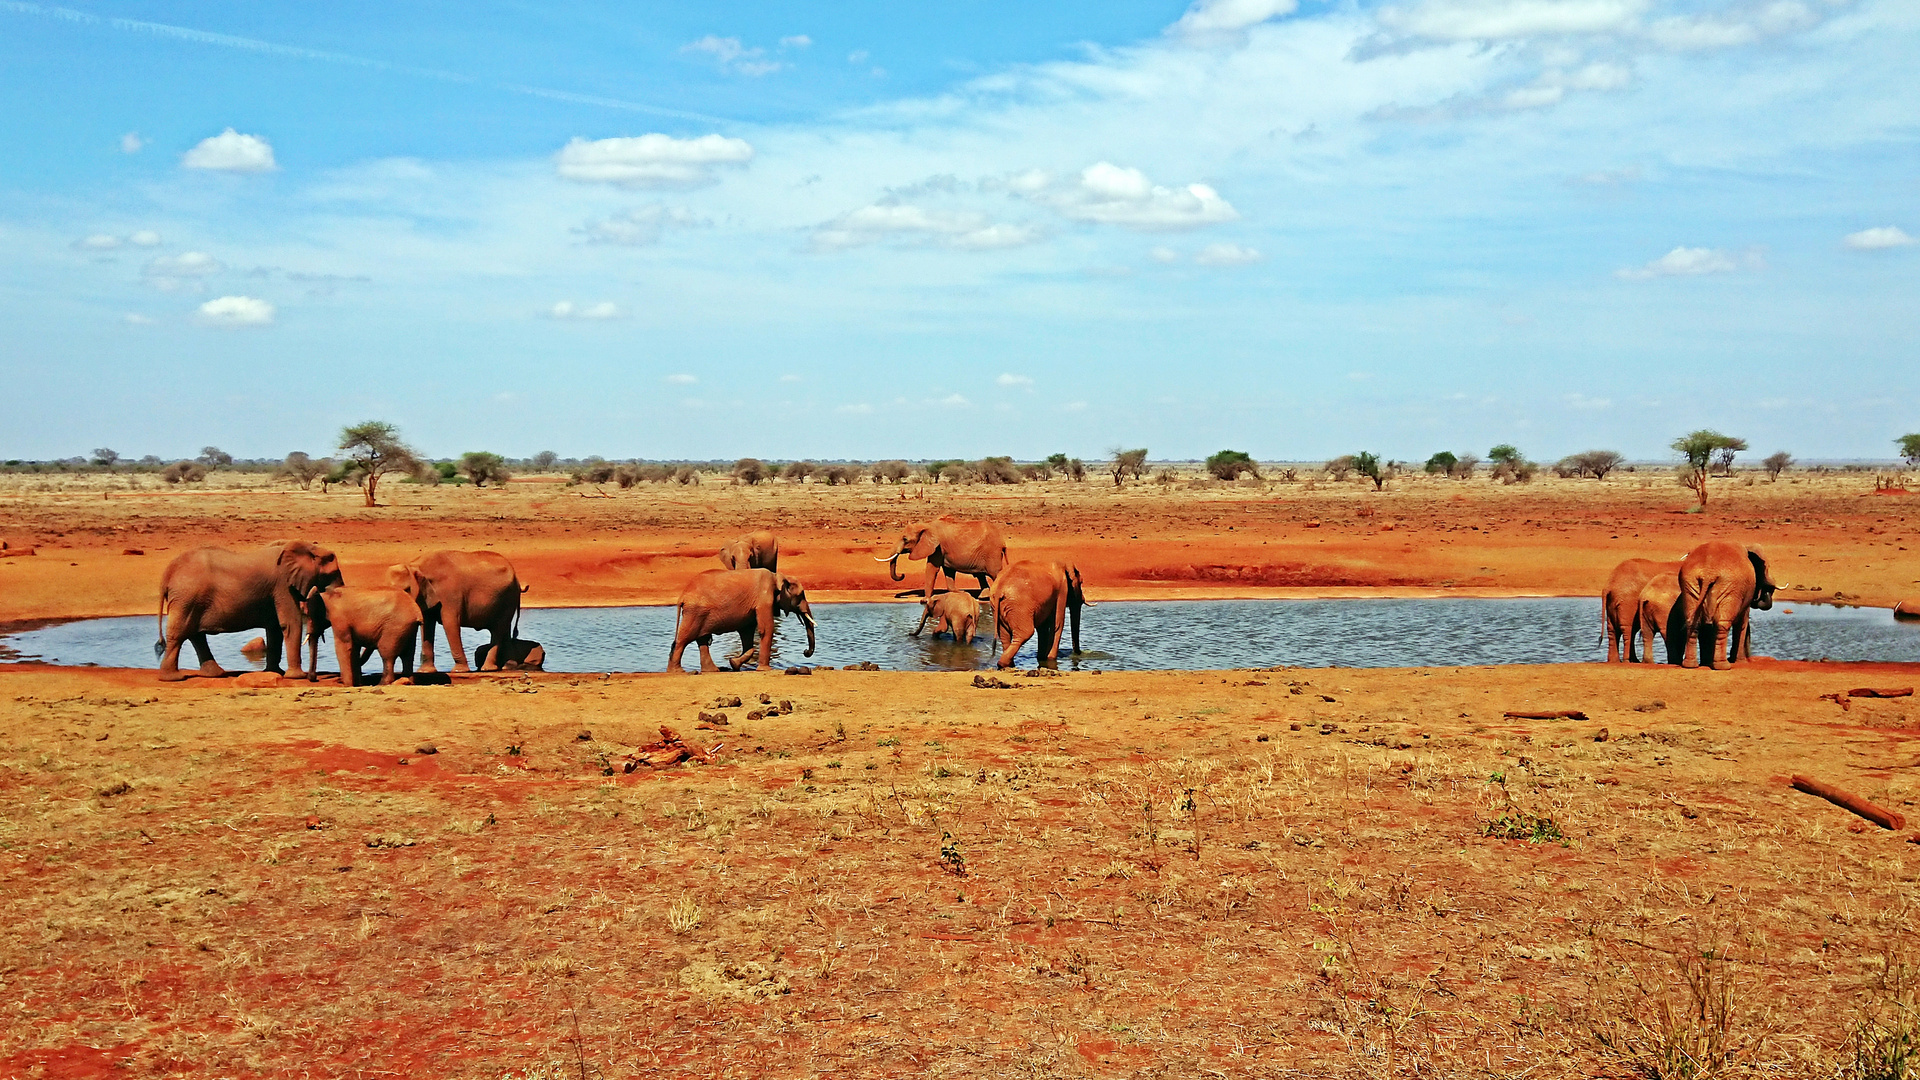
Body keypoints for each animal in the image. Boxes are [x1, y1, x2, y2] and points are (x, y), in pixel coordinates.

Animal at [155, 538, 343, 680]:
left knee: (195, 635)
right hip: (187, 597)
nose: (314, 677)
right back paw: (173, 678)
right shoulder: (283, 585)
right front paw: (296, 677)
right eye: (331, 575)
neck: (307, 547)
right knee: (179, 633)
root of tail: (167, 573)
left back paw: (215, 674)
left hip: (190, 599)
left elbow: (275, 627)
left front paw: (275, 672)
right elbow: (290, 623)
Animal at [387, 549, 526, 668]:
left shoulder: (450, 594)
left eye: (407, 590)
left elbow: (450, 623)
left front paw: (460, 670)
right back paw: (507, 666)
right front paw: (425, 671)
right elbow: (427, 624)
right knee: (504, 630)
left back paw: (488, 668)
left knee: (498, 629)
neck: (415, 565)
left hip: (508, 597)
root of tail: (517, 579)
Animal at [672, 568, 814, 668]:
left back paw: (712, 670)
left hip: (699, 613)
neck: (777, 576)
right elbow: (766, 629)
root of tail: (683, 595)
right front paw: (764, 669)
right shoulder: (764, 599)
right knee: (683, 640)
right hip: (695, 612)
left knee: (701, 640)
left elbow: (747, 633)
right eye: (801, 595)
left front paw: (734, 663)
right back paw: (677, 671)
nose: (805, 651)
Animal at [879, 511, 1013, 595]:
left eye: (905, 539)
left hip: (992, 553)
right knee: (981, 576)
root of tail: (1003, 542)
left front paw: (925, 600)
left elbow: (932, 569)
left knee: (995, 573)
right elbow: (948, 570)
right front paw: (957, 592)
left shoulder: (937, 547)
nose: (902, 575)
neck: (927, 525)